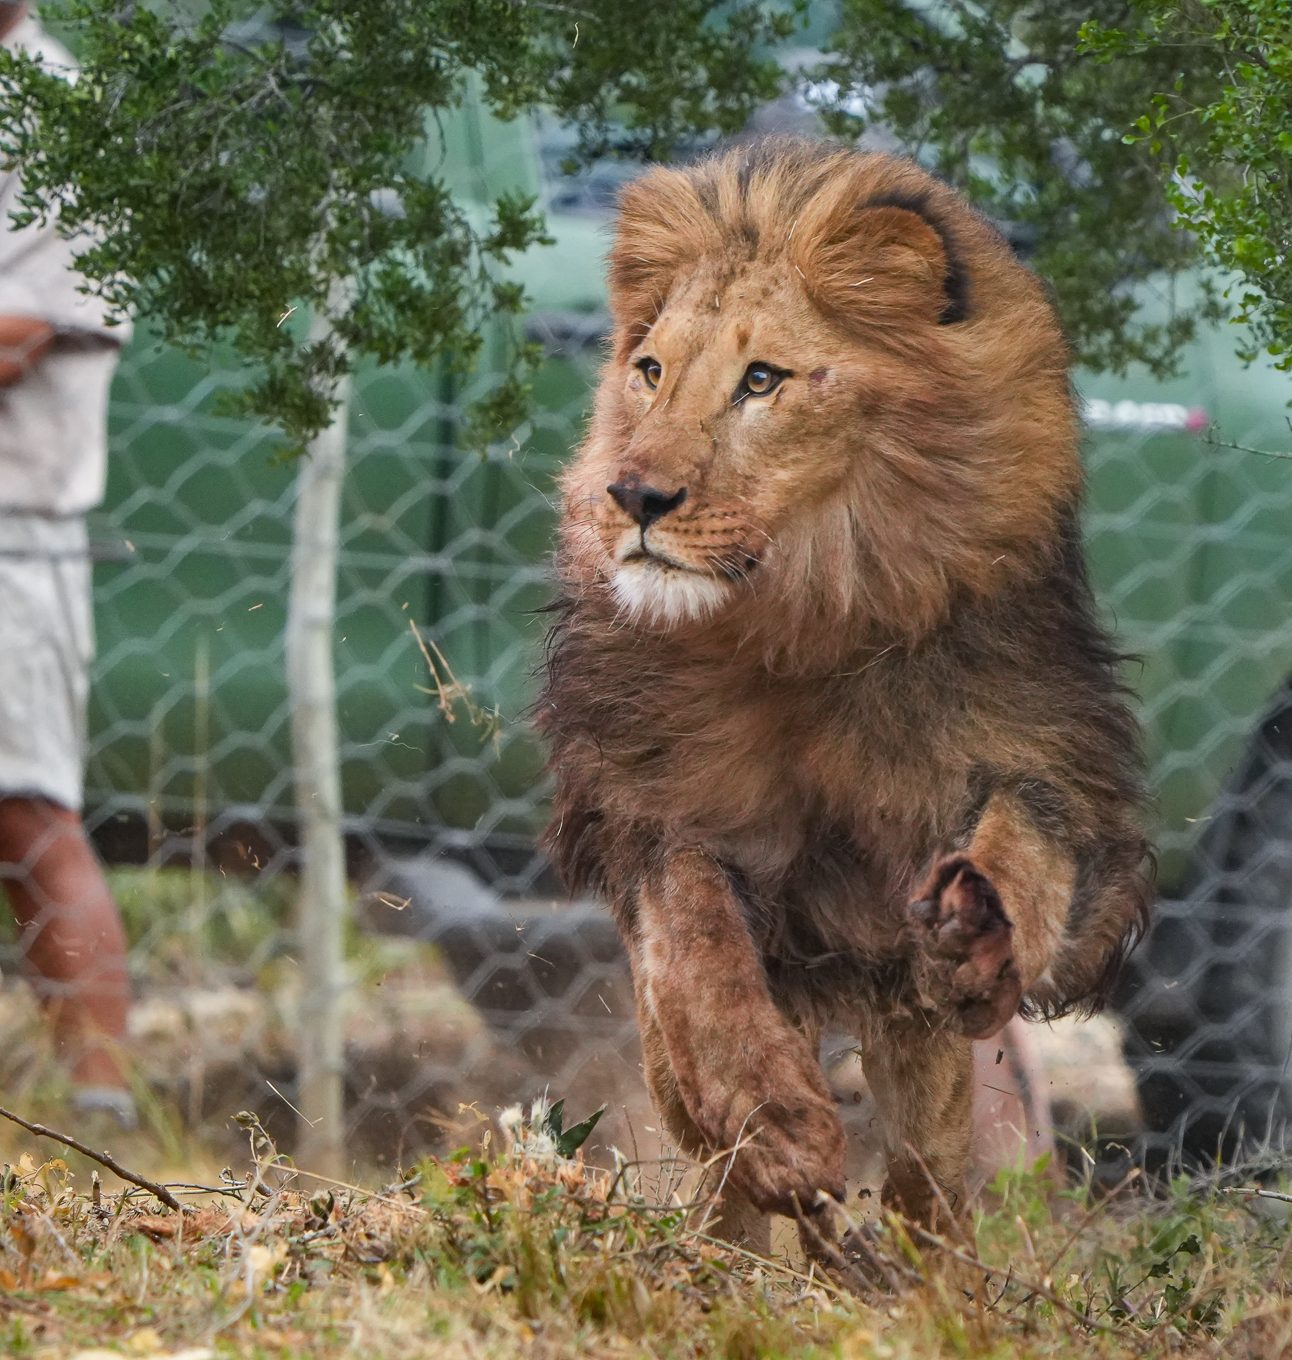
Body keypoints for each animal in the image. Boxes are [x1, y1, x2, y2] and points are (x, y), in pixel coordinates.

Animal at [538, 138, 1153, 1251]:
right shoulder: (651, 806)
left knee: (929, 1169)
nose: (634, 495)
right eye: (650, 372)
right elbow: (699, 951)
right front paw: (775, 1121)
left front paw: (980, 921)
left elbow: (1030, 846)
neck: (804, 620)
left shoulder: (1039, 745)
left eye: (762, 380)